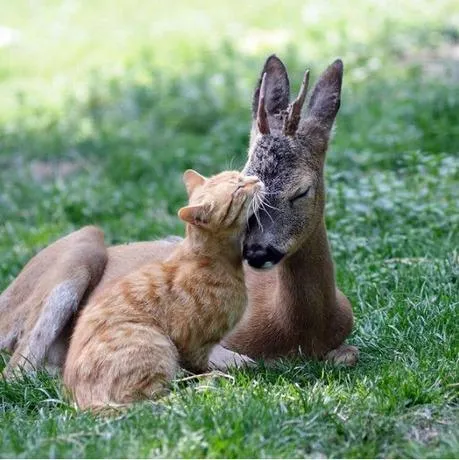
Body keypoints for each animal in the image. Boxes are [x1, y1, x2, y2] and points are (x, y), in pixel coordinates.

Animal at [0, 54, 358, 380]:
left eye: (301, 192)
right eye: (246, 181)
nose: (257, 251)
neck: (295, 328)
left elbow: (348, 354)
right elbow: (238, 361)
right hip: (79, 250)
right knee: (18, 369)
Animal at [62, 169, 262, 410]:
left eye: (239, 175)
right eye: (238, 188)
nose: (257, 179)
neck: (209, 260)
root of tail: (83, 404)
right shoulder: (192, 345)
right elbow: (199, 365)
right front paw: (213, 374)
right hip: (154, 342)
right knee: (154, 400)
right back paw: (205, 385)